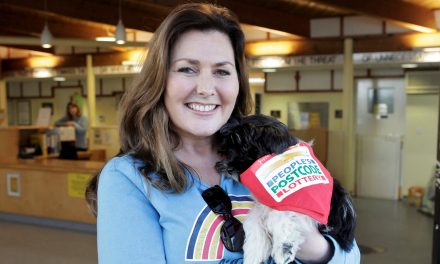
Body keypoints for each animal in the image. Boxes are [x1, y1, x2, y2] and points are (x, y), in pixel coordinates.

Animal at [215, 115, 356, 264]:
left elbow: (281, 217)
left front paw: (284, 249)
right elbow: (254, 220)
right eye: (228, 150)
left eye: (246, 148)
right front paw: (254, 252)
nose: (228, 168)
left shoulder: (303, 205)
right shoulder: (262, 205)